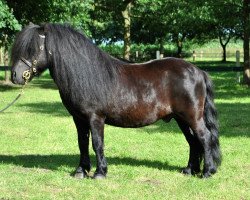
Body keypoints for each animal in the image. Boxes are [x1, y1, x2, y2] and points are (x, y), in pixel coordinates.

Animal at [10, 23, 221, 178]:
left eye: (32, 49)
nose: (15, 76)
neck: (86, 73)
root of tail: (198, 71)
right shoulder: (79, 119)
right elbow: (82, 143)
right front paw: (80, 171)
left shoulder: (95, 118)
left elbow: (97, 143)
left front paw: (100, 172)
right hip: (181, 118)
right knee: (193, 142)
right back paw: (189, 170)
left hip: (192, 117)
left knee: (204, 137)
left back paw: (207, 172)